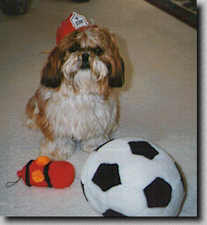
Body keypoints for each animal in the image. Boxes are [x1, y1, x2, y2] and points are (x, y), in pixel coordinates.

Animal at [25, 12, 123, 160]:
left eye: (98, 50)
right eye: (73, 48)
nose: (85, 55)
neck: (81, 91)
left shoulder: (100, 118)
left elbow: (96, 135)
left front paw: (94, 146)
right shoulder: (56, 120)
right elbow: (59, 139)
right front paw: (57, 152)